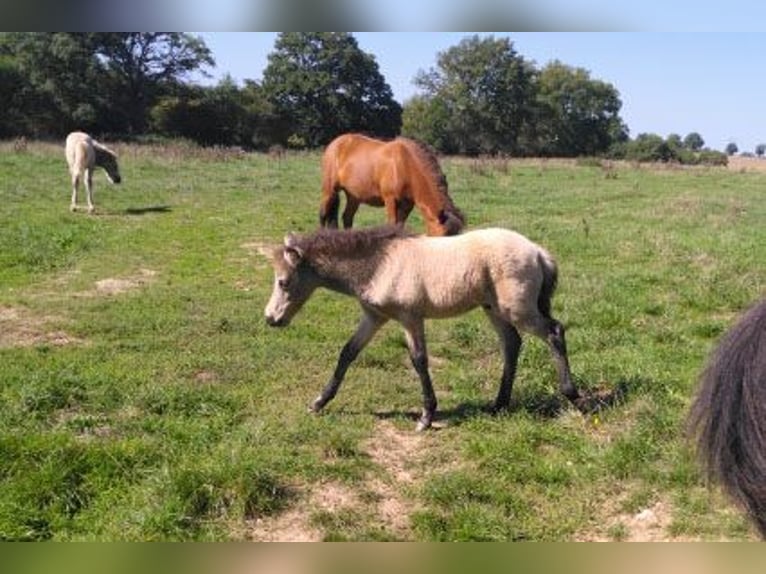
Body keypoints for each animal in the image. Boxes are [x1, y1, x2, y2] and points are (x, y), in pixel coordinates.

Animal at [264, 225, 587, 431]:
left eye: (283, 282)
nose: (271, 319)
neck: (379, 265)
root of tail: (538, 251)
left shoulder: (410, 318)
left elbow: (419, 361)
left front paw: (426, 417)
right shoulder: (374, 317)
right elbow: (347, 353)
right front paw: (319, 402)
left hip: (518, 309)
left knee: (554, 332)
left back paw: (572, 396)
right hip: (495, 309)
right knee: (512, 344)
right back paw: (499, 405)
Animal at [319, 133, 465, 236]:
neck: (405, 165)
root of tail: (336, 142)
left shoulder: (407, 205)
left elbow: (400, 227)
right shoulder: (390, 200)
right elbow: (392, 226)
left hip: (354, 196)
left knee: (347, 217)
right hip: (329, 190)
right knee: (323, 214)